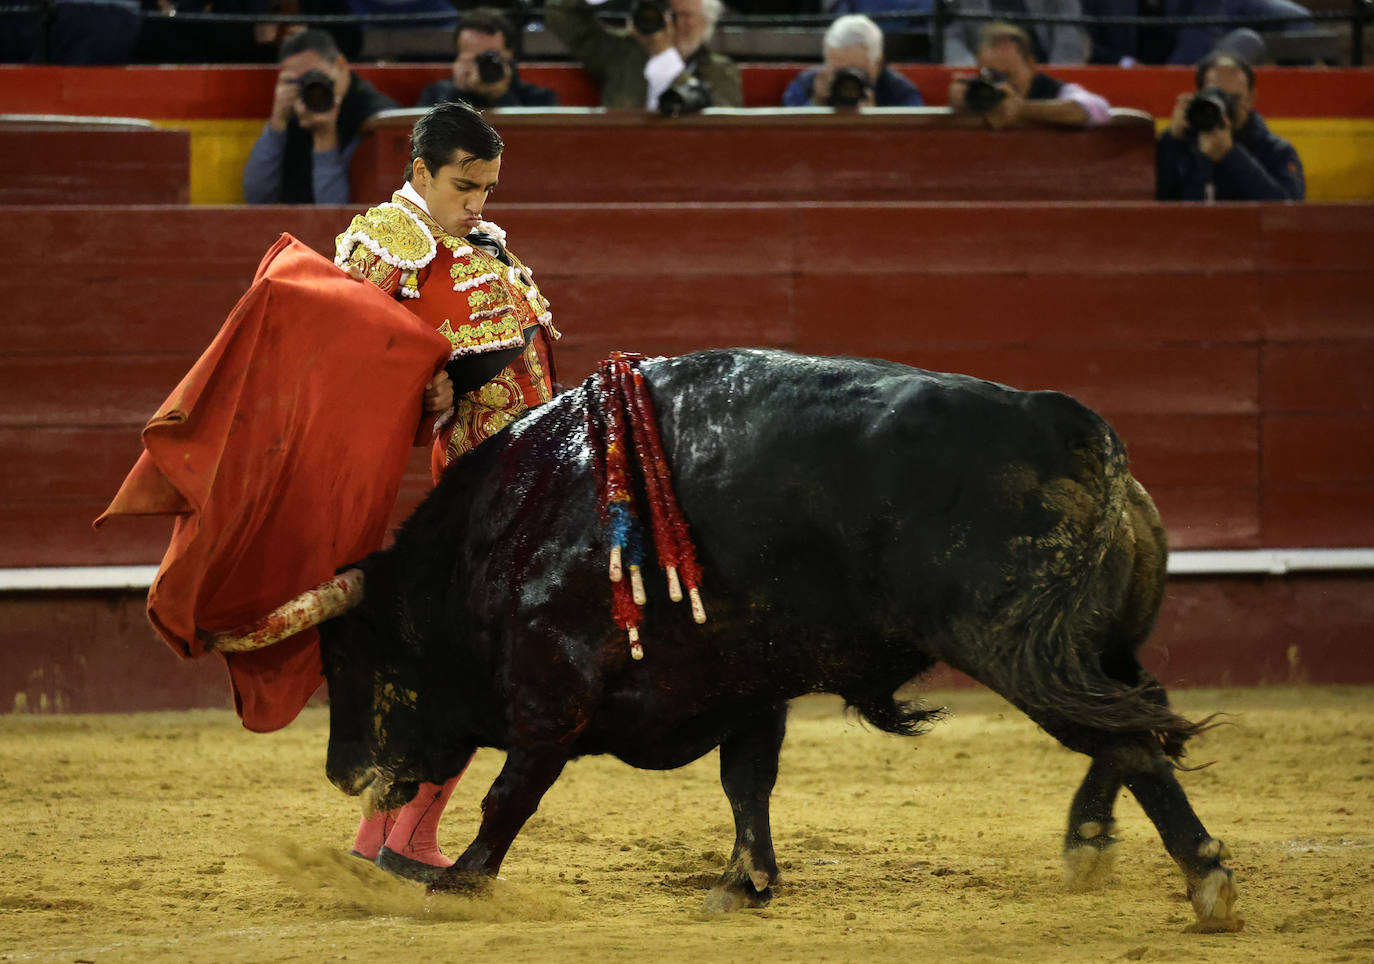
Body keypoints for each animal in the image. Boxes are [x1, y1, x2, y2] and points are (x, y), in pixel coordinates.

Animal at [208, 351, 1242, 933]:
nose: (344, 770)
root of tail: (1080, 432)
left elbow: (514, 790)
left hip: (1018, 647)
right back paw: (1093, 842)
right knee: (1140, 717)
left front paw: (460, 882)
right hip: (1085, 647)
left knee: (1126, 735)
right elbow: (748, 783)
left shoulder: (551, 687)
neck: (505, 531)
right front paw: (744, 885)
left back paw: (1204, 880)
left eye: (351, 658)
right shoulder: (747, 682)